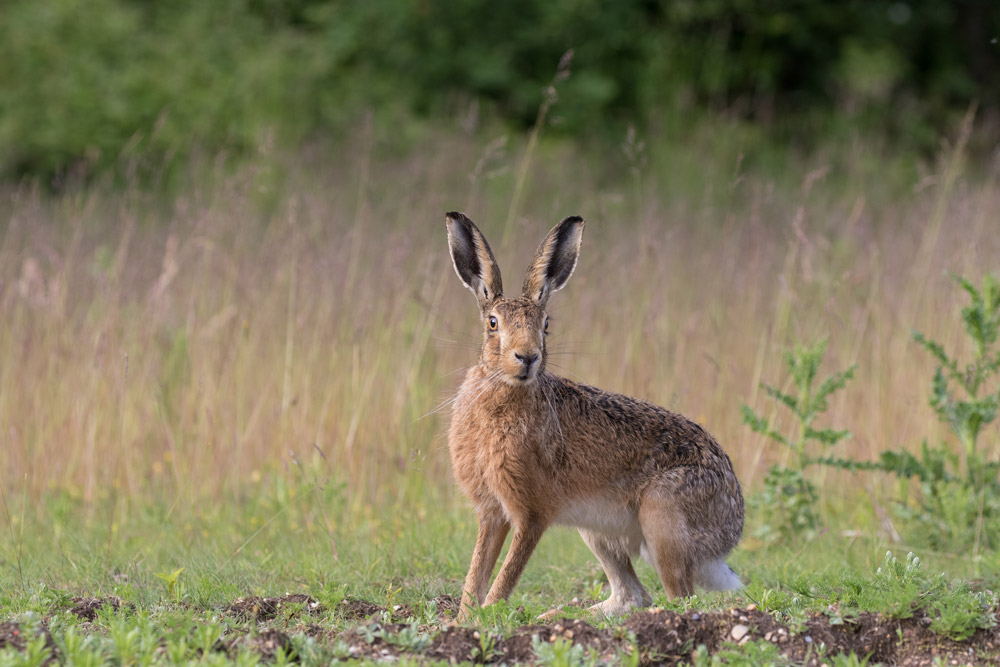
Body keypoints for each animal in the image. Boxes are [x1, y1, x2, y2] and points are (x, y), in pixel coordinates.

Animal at [444, 212, 744, 619]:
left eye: (545, 326)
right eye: (493, 323)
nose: (527, 357)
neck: (505, 393)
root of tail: (733, 525)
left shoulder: (532, 513)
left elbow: (505, 575)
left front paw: (489, 616)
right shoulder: (492, 512)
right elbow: (475, 574)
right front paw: (463, 620)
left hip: (663, 516)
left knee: (680, 599)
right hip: (598, 529)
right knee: (631, 594)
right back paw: (559, 615)